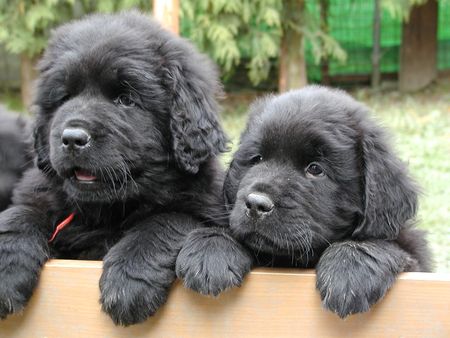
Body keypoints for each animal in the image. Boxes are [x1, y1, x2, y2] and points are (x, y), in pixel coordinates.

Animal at [0, 12, 227, 324]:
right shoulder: (41, 195)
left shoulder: (202, 207)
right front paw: (6, 268)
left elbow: (165, 220)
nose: (72, 138)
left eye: (125, 100)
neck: (105, 211)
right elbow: (20, 214)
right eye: (64, 98)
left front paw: (128, 280)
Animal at [177, 86, 432, 318]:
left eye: (315, 169)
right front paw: (211, 250)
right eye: (256, 159)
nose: (256, 204)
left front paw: (350, 267)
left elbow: (383, 243)